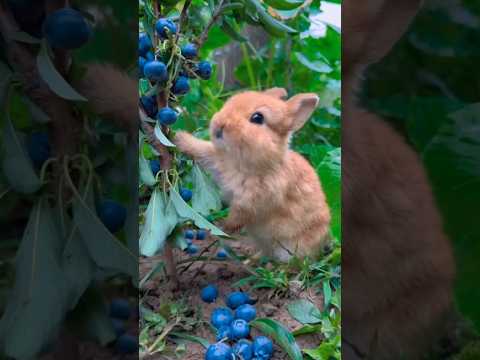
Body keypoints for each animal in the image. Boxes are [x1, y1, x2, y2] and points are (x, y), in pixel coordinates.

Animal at [174, 87, 332, 262]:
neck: (244, 163)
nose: (220, 124)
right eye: (230, 102)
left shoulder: (252, 200)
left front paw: (224, 227)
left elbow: (239, 215)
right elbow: (201, 149)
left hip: (290, 248)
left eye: (257, 118)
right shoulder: (217, 161)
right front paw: (178, 137)